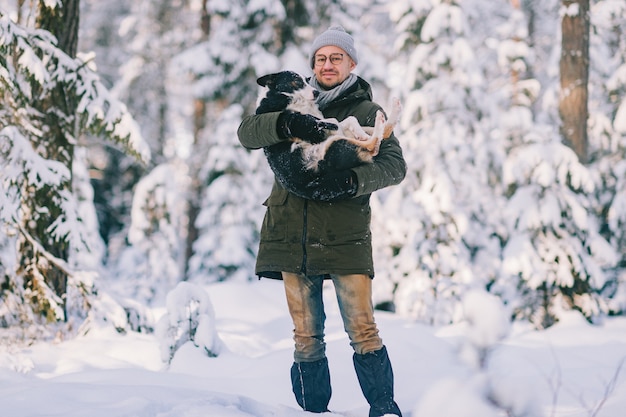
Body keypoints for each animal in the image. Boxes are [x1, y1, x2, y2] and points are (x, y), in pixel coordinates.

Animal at [254, 71, 400, 193]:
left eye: (306, 80)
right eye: (296, 81)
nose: (316, 92)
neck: (283, 97)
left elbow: (349, 120)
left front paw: (361, 133)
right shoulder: (317, 127)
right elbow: (341, 120)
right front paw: (361, 134)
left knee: (382, 134)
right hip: (333, 145)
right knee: (372, 144)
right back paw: (378, 123)